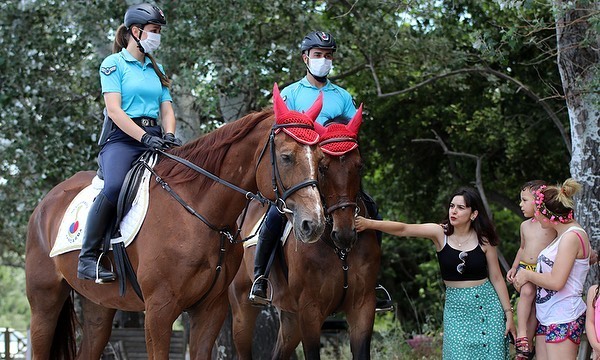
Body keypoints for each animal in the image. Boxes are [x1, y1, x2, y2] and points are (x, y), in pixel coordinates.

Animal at [25, 83, 328, 358]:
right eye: (286, 157)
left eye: (320, 160)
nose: (313, 223)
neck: (199, 211)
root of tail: (45, 204)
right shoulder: (159, 310)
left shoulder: (211, 310)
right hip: (44, 302)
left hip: (98, 305)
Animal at [230, 107, 380, 360]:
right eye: (323, 167)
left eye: (359, 165)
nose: (345, 233)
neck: (339, 250)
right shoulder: (310, 311)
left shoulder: (363, 308)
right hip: (242, 309)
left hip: (291, 318)